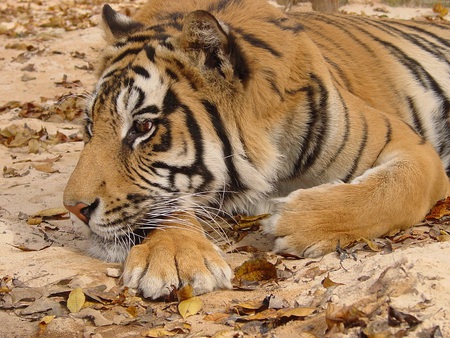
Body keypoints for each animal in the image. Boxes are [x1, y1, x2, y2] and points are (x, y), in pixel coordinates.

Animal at [62, 0, 450, 300]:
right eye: (90, 126)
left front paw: (298, 219)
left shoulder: (410, 145)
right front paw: (174, 257)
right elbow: (166, 206)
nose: (74, 209)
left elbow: (395, 189)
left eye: (143, 127)